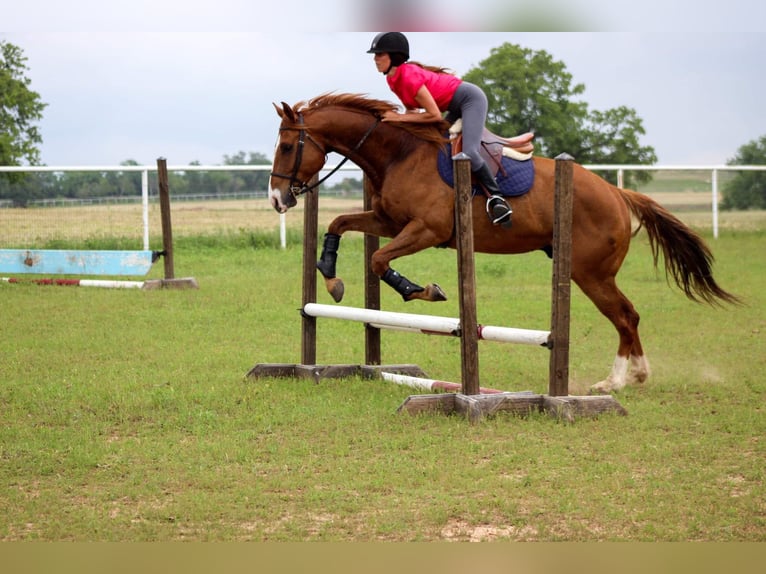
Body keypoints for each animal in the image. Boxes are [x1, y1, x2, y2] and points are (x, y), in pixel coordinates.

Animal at [268, 92, 740, 396]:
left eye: (288, 145)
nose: (277, 198)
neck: (401, 152)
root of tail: (616, 192)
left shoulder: (427, 230)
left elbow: (381, 261)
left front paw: (424, 291)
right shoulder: (389, 220)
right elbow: (339, 223)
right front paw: (331, 277)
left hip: (589, 272)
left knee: (625, 316)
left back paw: (619, 380)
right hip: (590, 271)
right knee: (629, 316)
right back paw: (636, 376)